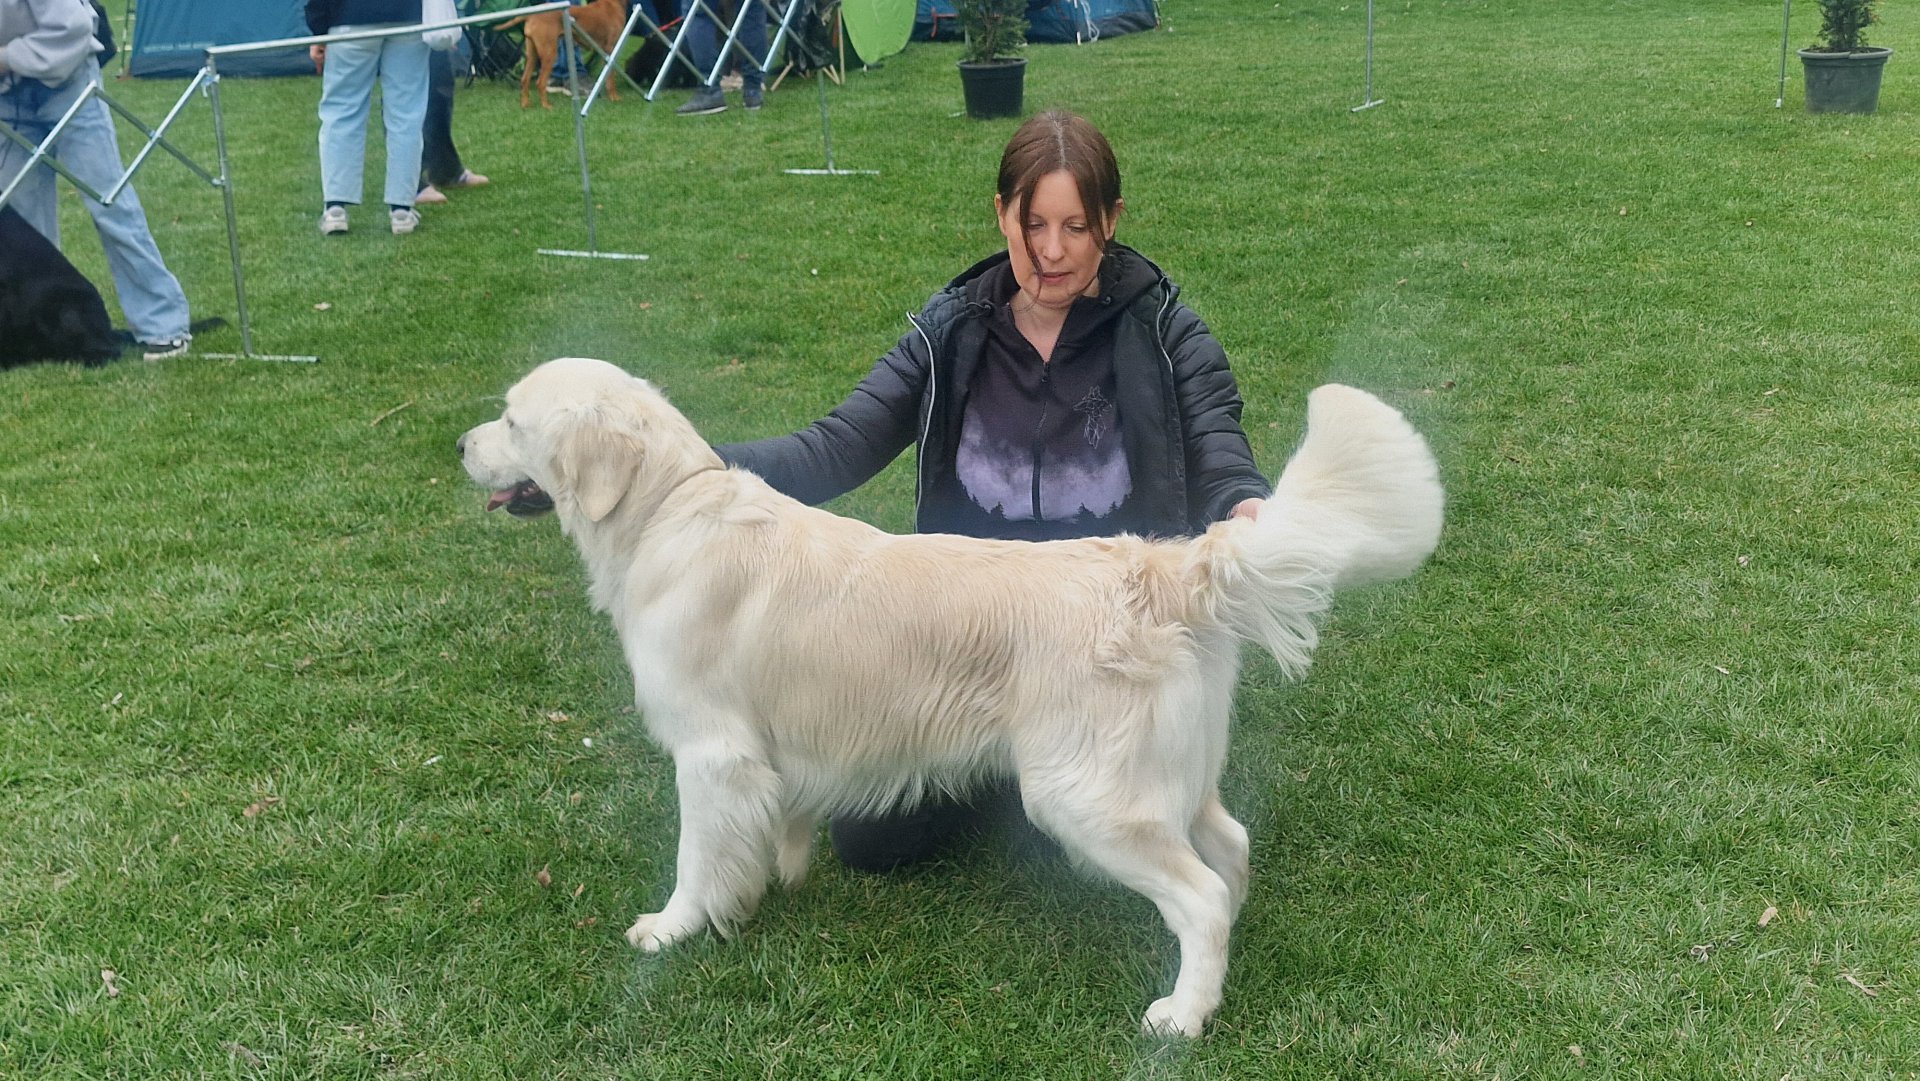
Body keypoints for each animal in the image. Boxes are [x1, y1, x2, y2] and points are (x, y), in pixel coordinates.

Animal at [459, 357, 1444, 1036]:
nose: (458, 445)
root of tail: (1165, 566)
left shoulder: (711, 750)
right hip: (1170, 774)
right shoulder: (764, 754)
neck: (668, 509)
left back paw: (1183, 1014)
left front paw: (674, 927)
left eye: (509, 417)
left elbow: (696, 858)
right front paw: (772, 883)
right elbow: (770, 831)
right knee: (1229, 847)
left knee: (1197, 894)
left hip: (1084, 796)